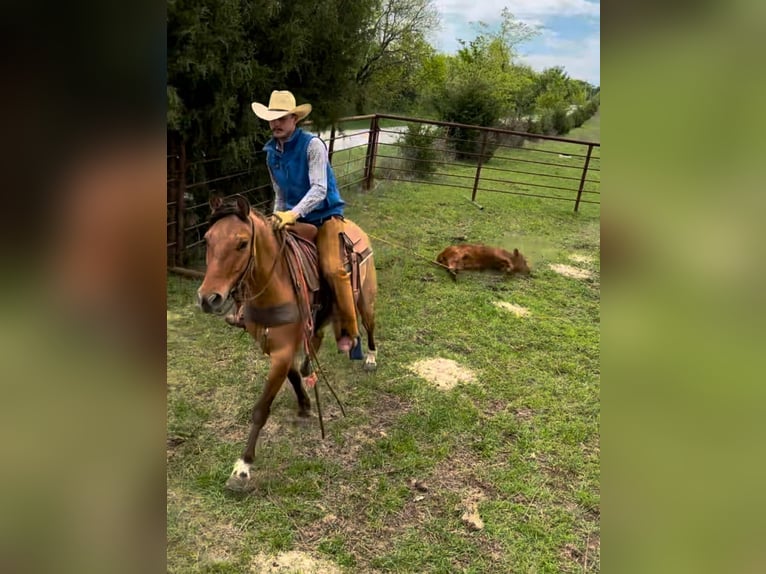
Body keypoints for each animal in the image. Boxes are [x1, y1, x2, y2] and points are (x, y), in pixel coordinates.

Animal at [196, 196, 380, 488]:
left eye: (242, 243)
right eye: (207, 240)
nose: (208, 298)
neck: (273, 284)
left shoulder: (282, 351)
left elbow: (261, 408)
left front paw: (243, 467)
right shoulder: (273, 346)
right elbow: (292, 373)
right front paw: (305, 403)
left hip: (364, 298)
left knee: (369, 325)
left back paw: (371, 356)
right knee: (316, 338)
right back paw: (310, 367)